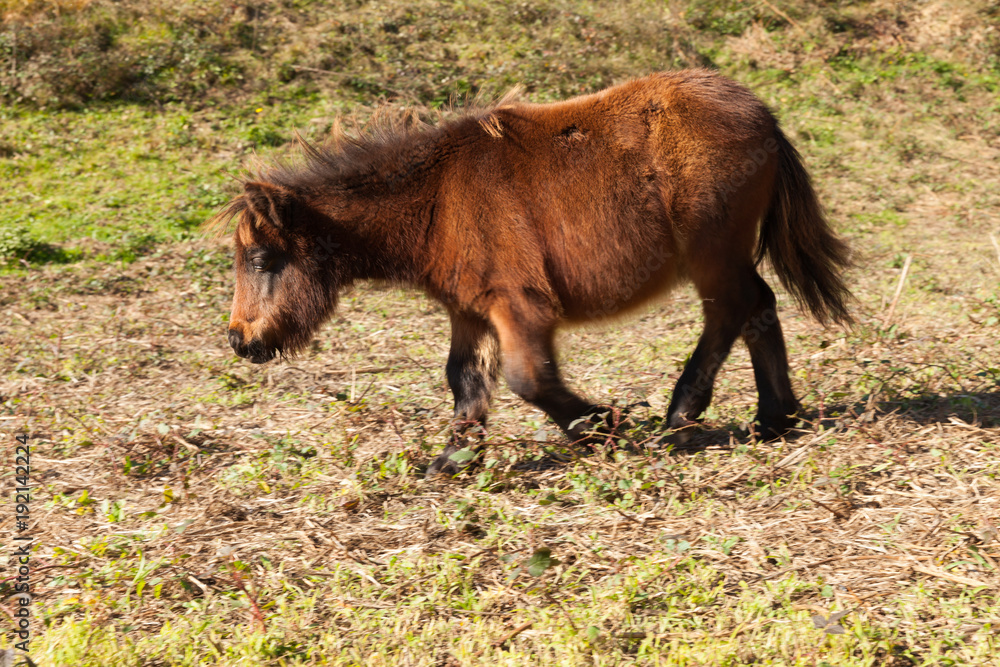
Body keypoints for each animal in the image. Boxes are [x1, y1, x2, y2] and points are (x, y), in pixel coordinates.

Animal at [209, 69, 853, 478]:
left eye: (263, 261)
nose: (241, 340)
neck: (438, 201)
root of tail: (763, 116)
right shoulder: (470, 310)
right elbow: (465, 381)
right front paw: (450, 462)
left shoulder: (520, 306)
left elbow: (529, 380)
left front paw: (605, 425)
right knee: (758, 308)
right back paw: (775, 418)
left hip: (712, 254)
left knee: (734, 310)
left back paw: (685, 414)